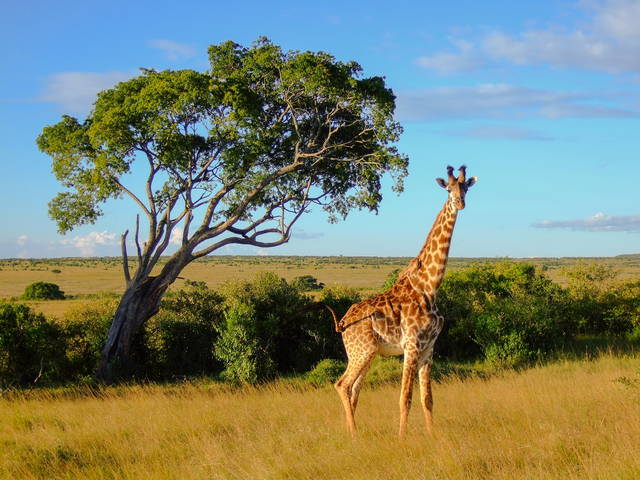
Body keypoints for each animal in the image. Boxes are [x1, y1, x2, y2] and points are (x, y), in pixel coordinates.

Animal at [333, 165, 477, 436]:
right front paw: (402, 437)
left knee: (354, 389)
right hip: (361, 350)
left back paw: (350, 432)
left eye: (466, 187)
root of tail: (343, 323)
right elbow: (405, 397)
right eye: (448, 188)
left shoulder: (429, 347)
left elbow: (427, 398)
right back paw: (354, 435)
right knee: (343, 385)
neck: (429, 287)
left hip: (367, 352)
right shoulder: (411, 345)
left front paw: (433, 436)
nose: (460, 203)